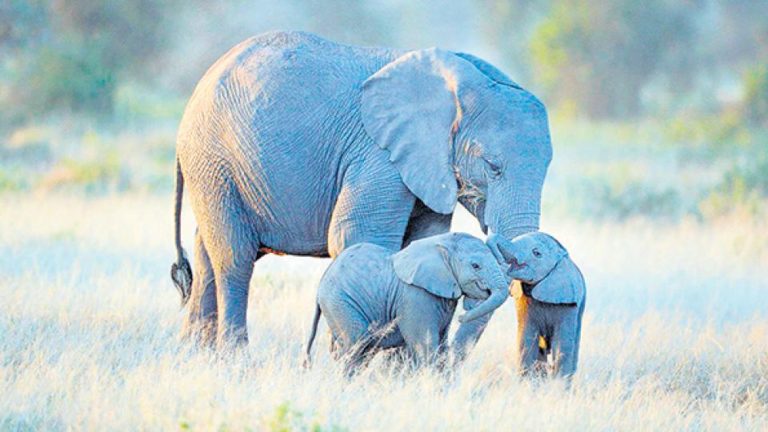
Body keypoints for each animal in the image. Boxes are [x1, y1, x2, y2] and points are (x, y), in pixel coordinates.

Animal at [171, 30, 552, 350]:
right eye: (492, 166)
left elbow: (422, 241)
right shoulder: (378, 155)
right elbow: (356, 236)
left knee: (206, 254)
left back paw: (195, 355)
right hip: (214, 161)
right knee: (234, 258)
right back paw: (235, 358)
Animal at [304, 233, 510, 374]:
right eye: (476, 266)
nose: (462, 316)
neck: (442, 243)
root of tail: (320, 286)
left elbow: (441, 346)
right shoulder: (415, 296)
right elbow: (426, 345)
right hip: (340, 302)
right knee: (356, 346)